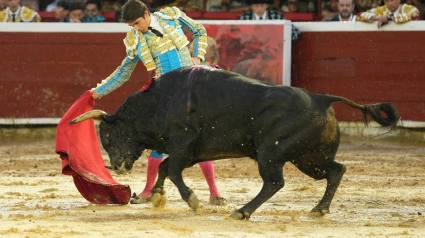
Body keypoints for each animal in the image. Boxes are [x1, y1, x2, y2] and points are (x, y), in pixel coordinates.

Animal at [69, 66, 398, 219]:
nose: (118, 167)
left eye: (108, 136)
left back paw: (242, 211)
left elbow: (172, 170)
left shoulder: (184, 144)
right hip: (307, 158)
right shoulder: (191, 151)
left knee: (275, 182)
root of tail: (321, 98)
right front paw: (158, 197)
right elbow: (165, 168)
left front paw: (192, 200)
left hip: (272, 153)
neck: (159, 102)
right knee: (336, 170)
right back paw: (318, 209)